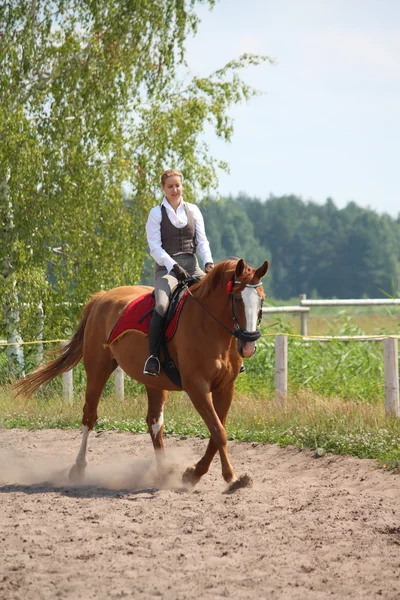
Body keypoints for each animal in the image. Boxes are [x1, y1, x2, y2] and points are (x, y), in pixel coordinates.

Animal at [14, 258, 268, 488]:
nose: (248, 345)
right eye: (237, 298)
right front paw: (230, 477)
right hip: (97, 370)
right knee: (90, 416)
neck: (209, 326)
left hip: (153, 382)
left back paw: (163, 473)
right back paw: (79, 469)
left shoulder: (225, 388)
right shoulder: (197, 387)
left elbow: (218, 432)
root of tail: (101, 297)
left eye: (261, 299)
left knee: (155, 423)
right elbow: (218, 431)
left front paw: (195, 474)